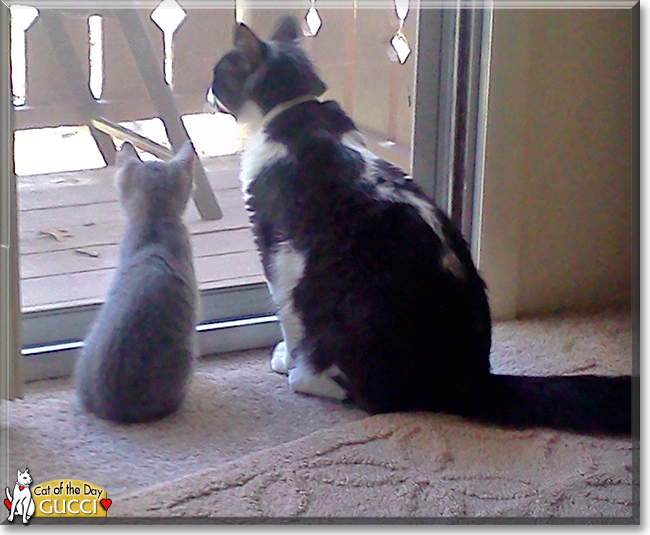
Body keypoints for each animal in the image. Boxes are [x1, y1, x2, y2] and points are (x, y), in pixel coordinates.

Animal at [206, 16, 628, 438]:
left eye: (217, 73)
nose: (207, 93)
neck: (291, 111)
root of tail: (473, 376)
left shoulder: (278, 250)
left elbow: (286, 317)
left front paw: (288, 360)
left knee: (373, 398)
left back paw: (307, 377)